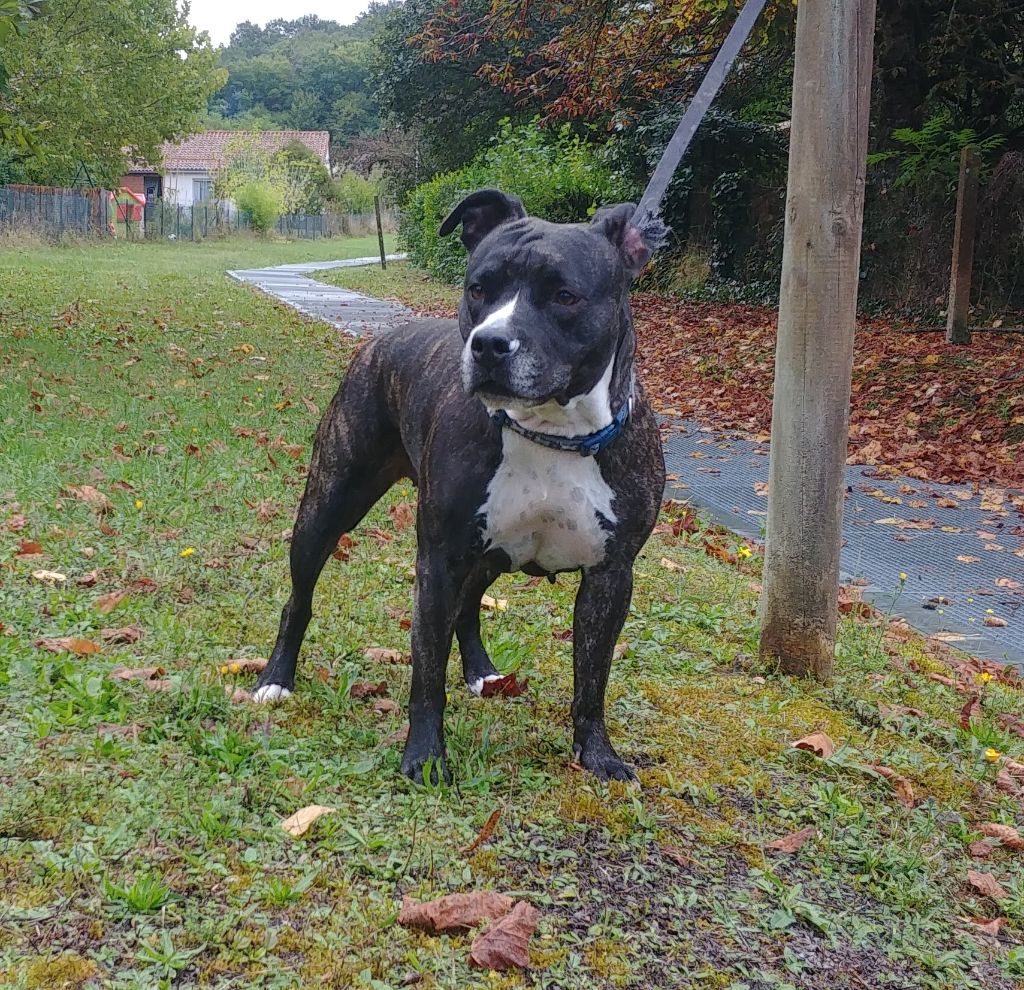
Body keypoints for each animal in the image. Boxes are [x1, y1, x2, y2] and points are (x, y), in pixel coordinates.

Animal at [253, 189, 666, 783]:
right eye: (478, 288)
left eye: (564, 296)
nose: (489, 343)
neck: (550, 432)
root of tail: (382, 338)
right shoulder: (438, 560)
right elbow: (427, 671)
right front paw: (425, 757)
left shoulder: (611, 576)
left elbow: (592, 677)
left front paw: (598, 754)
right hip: (328, 504)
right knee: (300, 598)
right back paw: (275, 678)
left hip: (490, 552)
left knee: (470, 607)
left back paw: (482, 672)